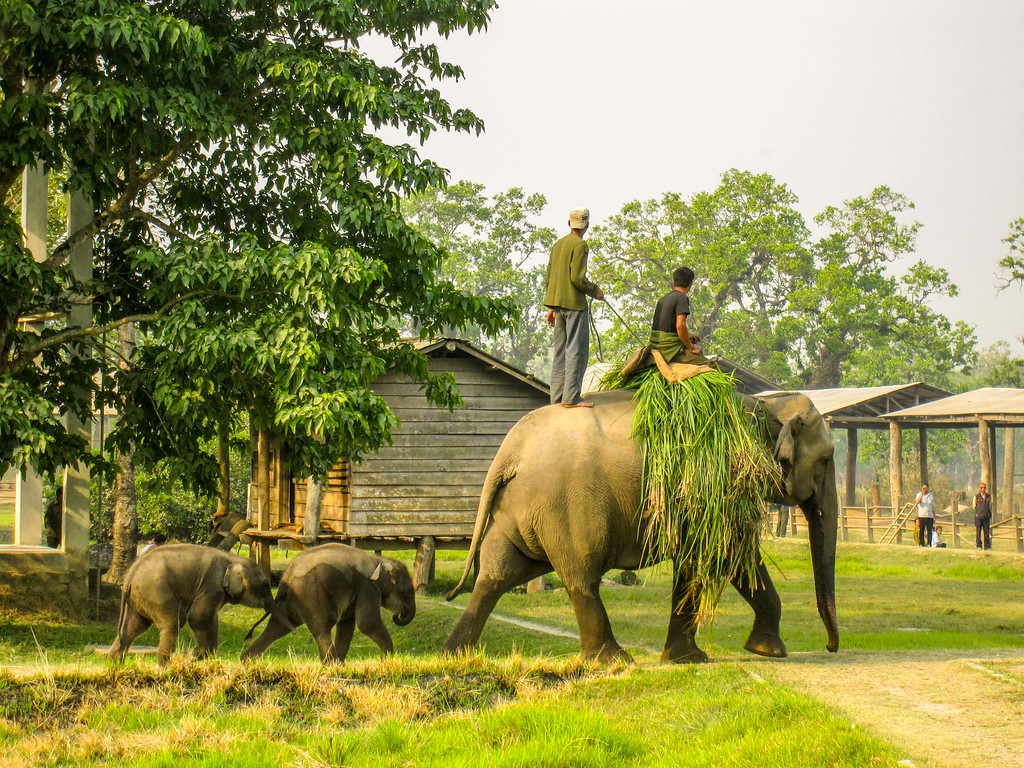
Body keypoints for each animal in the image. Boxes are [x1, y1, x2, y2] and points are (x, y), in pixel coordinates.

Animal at [109, 540, 288, 667]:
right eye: (265, 585)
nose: (248, 636)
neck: (232, 559)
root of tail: (130, 575)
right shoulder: (212, 584)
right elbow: (198, 618)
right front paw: (195, 656)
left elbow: (211, 619)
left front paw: (205, 657)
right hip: (155, 591)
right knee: (173, 622)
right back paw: (164, 667)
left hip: (139, 598)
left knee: (133, 627)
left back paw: (115, 664)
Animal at [240, 544, 415, 663]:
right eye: (407, 591)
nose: (398, 615)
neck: (381, 560)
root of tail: (285, 578)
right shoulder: (368, 588)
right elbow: (367, 623)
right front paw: (387, 660)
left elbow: (347, 625)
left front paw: (343, 665)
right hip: (310, 594)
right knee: (322, 628)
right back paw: (331, 665)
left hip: (291, 601)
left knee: (278, 627)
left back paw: (246, 661)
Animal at [442, 387, 839, 663]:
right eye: (827, 458)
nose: (831, 646)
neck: (764, 404)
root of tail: (510, 451)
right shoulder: (717, 483)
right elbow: (727, 554)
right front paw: (745, 654)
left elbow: (716, 558)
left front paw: (703, 656)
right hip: (564, 507)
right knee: (580, 577)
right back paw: (614, 661)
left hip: (518, 509)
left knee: (499, 574)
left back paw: (456, 655)